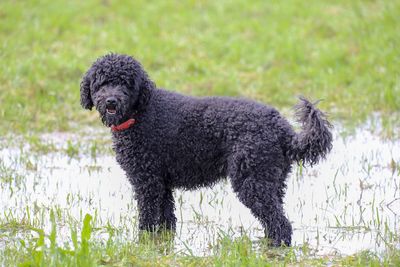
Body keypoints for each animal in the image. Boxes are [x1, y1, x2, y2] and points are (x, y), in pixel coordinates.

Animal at [79, 54, 332, 247]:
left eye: (126, 83)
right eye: (101, 83)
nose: (111, 101)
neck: (140, 112)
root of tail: (283, 129)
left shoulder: (147, 182)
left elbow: (148, 219)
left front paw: (144, 243)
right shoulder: (162, 183)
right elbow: (167, 220)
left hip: (251, 181)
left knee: (281, 224)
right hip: (272, 180)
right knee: (275, 218)